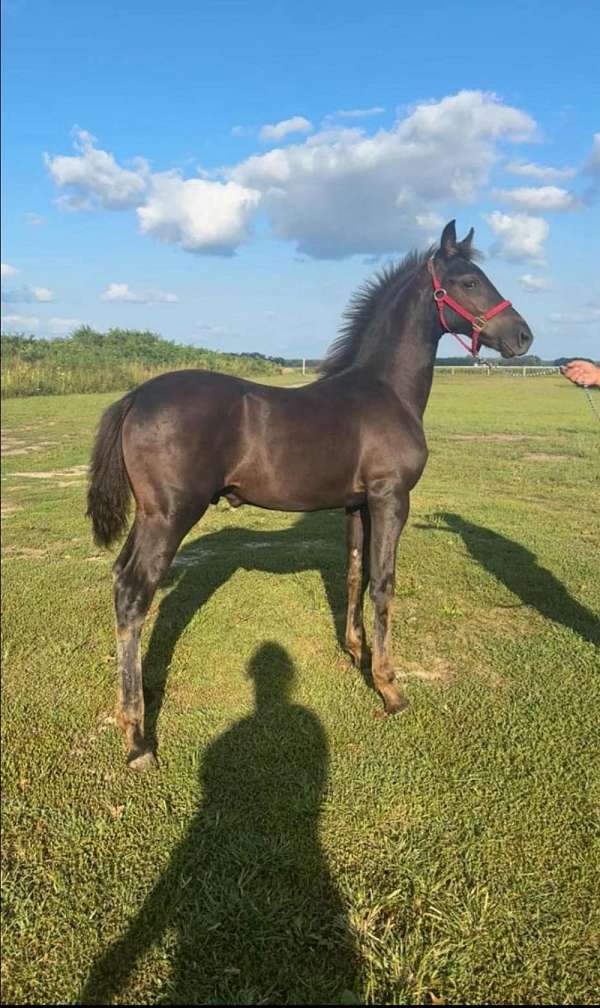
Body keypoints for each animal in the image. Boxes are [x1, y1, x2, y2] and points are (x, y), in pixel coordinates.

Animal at [86, 222, 532, 770]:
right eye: (469, 281)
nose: (523, 335)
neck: (386, 392)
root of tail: (134, 397)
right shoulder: (391, 498)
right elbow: (385, 583)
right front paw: (390, 688)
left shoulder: (357, 504)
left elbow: (356, 573)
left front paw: (358, 653)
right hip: (170, 515)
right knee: (133, 594)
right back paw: (137, 739)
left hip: (148, 516)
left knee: (120, 583)